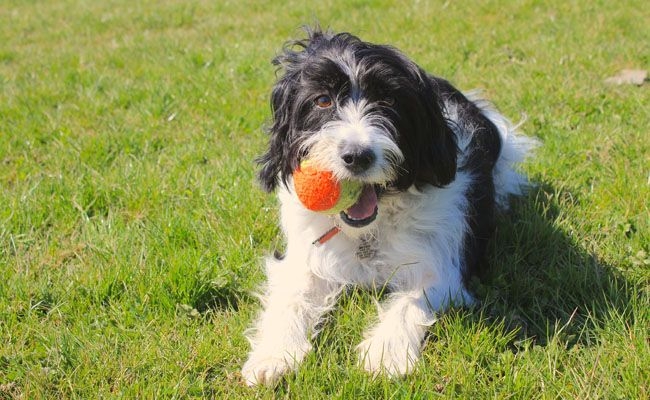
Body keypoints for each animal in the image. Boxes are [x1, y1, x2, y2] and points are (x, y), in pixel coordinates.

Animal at [240, 27, 536, 384]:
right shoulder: (306, 254)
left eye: (389, 101)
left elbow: (411, 299)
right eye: (323, 100)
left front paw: (385, 353)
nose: (357, 156)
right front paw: (274, 354)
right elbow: (292, 295)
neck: (369, 231)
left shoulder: (444, 264)